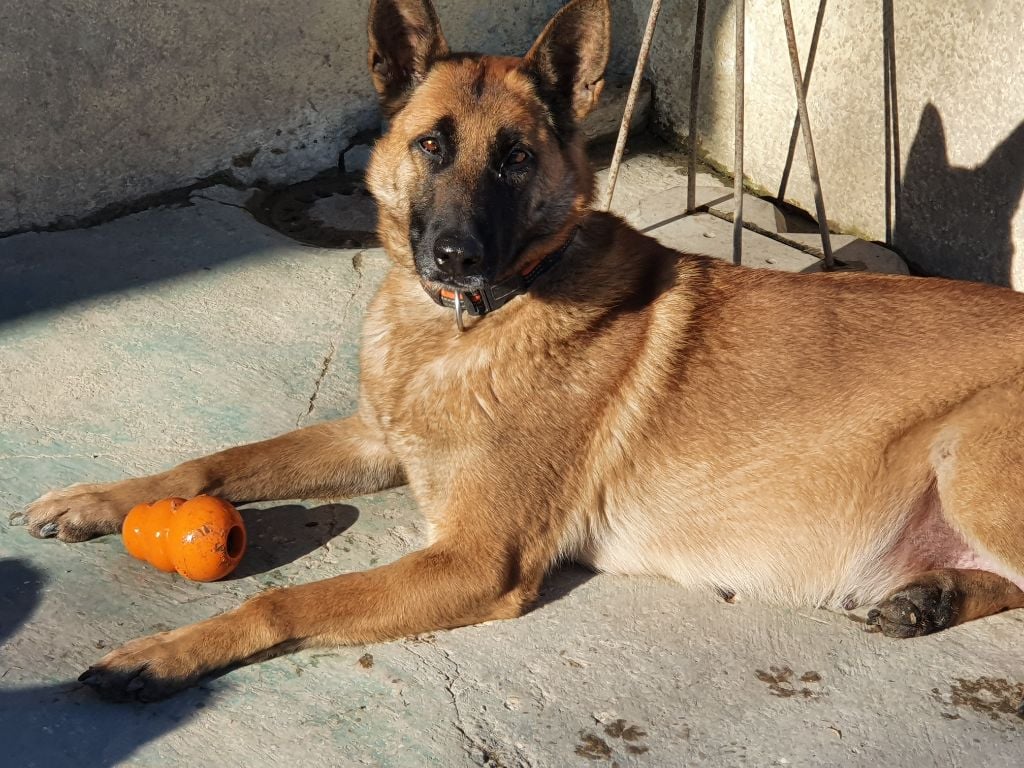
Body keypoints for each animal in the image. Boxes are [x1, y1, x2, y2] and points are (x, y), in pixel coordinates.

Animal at [18, 0, 1024, 704]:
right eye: (431, 145)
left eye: (513, 158)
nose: (454, 257)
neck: (466, 327)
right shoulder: (372, 442)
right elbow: (215, 461)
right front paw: (98, 501)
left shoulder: (474, 560)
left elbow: (283, 600)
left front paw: (159, 656)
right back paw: (930, 595)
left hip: (970, 457)